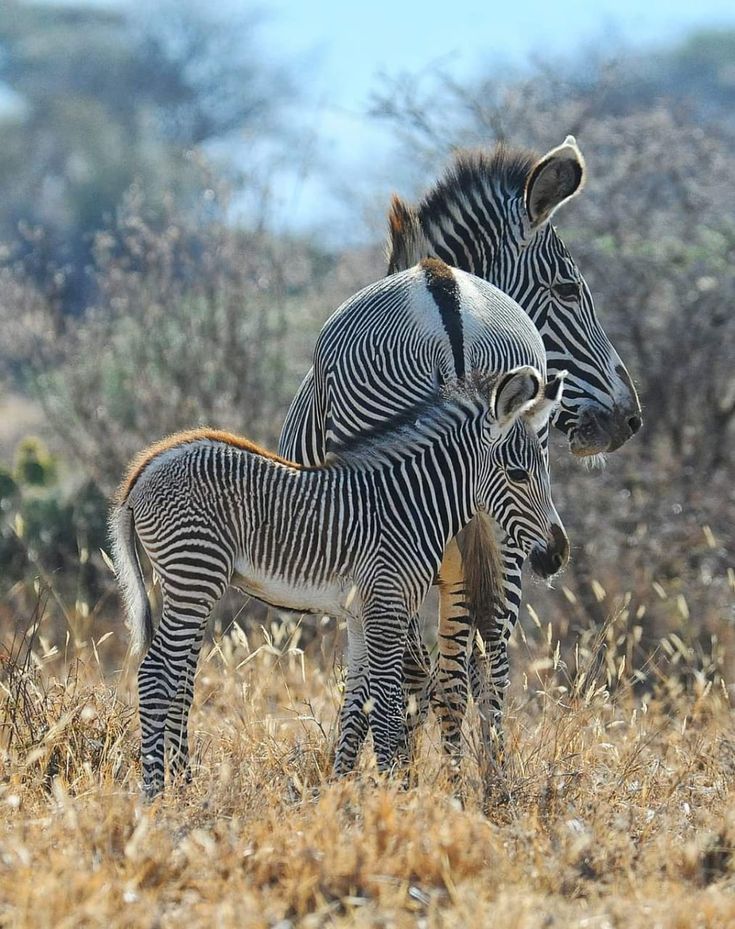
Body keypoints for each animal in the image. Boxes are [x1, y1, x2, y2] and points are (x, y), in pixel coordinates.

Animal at [112, 366, 568, 792]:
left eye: (546, 471)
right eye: (518, 474)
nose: (557, 555)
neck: (411, 505)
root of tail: (146, 467)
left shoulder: (361, 615)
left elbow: (356, 707)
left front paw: (342, 792)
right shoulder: (387, 606)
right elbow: (385, 708)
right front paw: (394, 793)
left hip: (186, 582)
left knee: (176, 678)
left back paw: (180, 786)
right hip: (195, 573)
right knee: (155, 676)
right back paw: (155, 795)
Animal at [280, 138, 640, 772]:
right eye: (569, 291)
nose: (628, 420)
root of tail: (446, 299)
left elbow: (393, 665)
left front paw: (369, 760)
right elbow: (456, 662)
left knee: (426, 662)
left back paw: (409, 769)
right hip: (511, 514)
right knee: (487, 657)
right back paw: (488, 776)